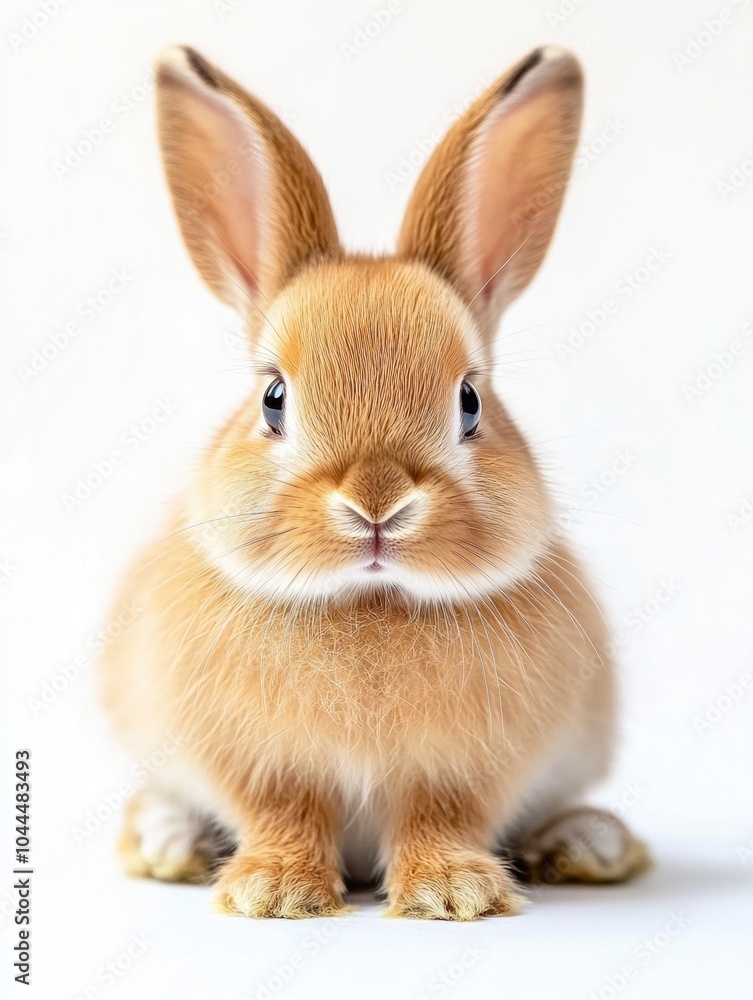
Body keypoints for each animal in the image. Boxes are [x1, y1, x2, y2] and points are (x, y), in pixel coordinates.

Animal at [101, 44, 651, 921]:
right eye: (273, 399)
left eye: (468, 402)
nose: (376, 502)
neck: (367, 601)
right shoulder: (259, 764)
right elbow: (284, 812)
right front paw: (275, 893)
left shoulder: (461, 771)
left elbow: (440, 816)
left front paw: (452, 895)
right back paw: (167, 842)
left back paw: (588, 843)